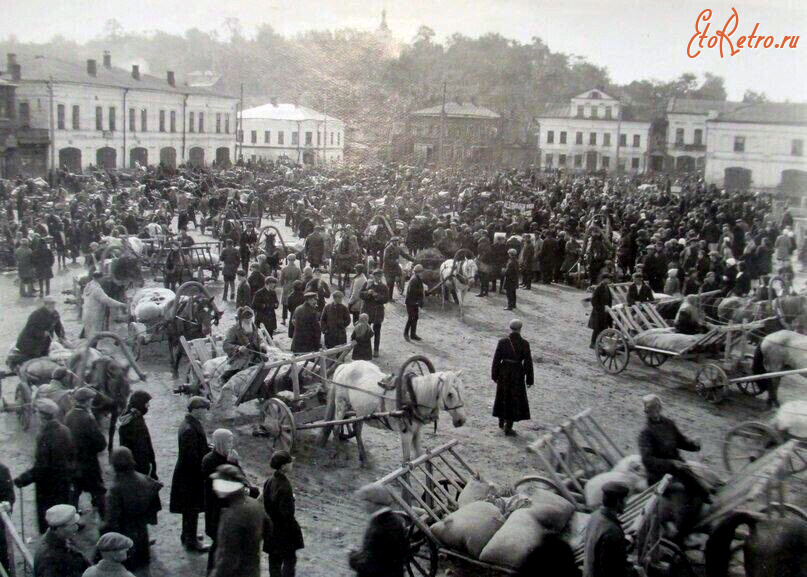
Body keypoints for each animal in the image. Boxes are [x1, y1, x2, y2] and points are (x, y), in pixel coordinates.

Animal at [322, 360, 468, 464]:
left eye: (462, 390)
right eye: (450, 394)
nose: (461, 420)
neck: (413, 396)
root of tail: (345, 366)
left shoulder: (417, 432)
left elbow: (419, 457)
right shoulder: (406, 433)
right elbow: (406, 461)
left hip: (360, 411)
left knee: (357, 430)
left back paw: (363, 457)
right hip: (341, 405)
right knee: (336, 428)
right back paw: (338, 455)